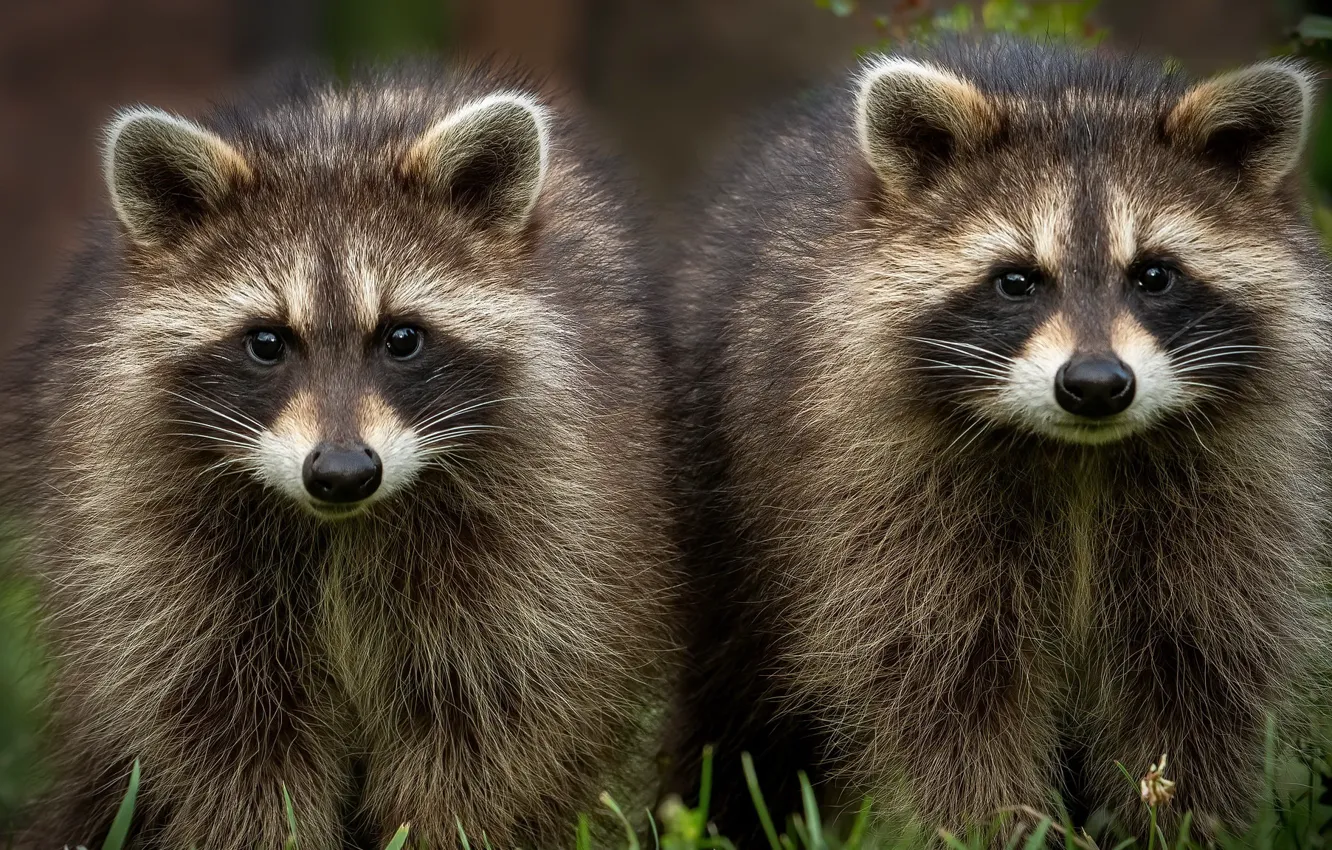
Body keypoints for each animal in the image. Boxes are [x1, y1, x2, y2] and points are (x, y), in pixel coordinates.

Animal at [3, 65, 676, 850]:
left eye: (402, 338)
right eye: (267, 342)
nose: (343, 473)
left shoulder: (547, 520)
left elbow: (493, 720)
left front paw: (444, 830)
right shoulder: (150, 537)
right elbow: (219, 730)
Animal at [664, 39, 1332, 841]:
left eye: (1154, 276)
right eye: (1017, 280)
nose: (1096, 385)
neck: (1082, 456)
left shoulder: (1231, 500)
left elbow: (1197, 673)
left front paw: (1176, 825)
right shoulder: (883, 500)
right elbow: (949, 688)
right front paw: (993, 828)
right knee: (733, 700)